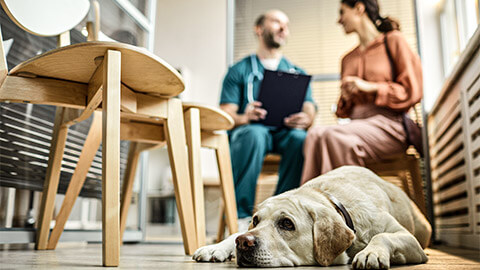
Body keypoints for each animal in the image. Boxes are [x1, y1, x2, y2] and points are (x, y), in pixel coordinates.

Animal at [193, 166, 434, 268]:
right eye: (255, 220)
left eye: (287, 224)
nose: (243, 243)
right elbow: (235, 231)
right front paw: (216, 247)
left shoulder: (408, 240)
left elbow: (382, 236)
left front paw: (371, 253)